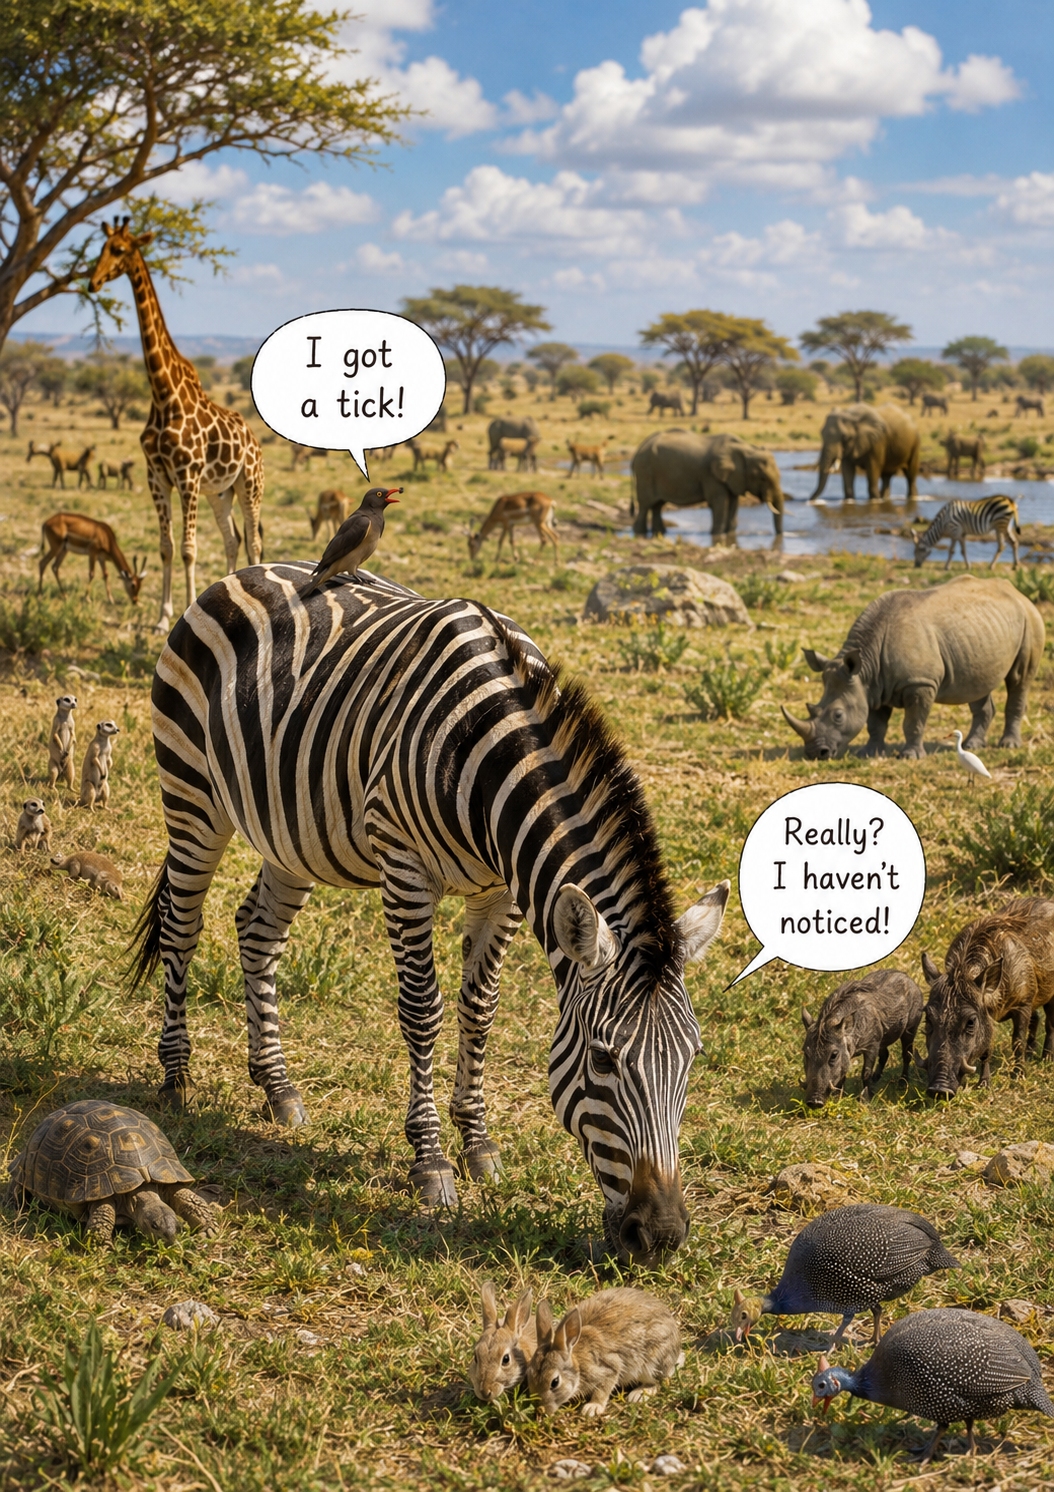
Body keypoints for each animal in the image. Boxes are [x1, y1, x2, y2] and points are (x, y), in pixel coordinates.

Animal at [129, 563, 729, 1265]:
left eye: (693, 1059)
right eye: (604, 1061)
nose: (661, 1236)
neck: (492, 765)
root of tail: (244, 571)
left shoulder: (502, 891)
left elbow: (480, 1010)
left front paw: (478, 1143)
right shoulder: (404, 866)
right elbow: (424, 1011)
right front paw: (432, 1161)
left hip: (291, 830)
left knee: (257, 932)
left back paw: (276, 1085)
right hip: (192, 795)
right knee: (181, 926)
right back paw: (176, 1076)